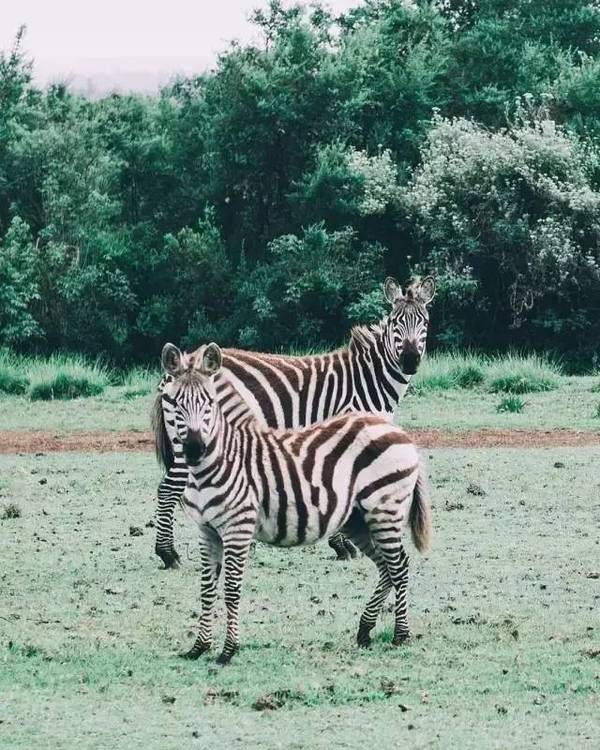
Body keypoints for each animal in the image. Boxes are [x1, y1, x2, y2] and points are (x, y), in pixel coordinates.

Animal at [159, 344, 432, 668]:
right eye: (174, 401)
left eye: (209, 402)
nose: (193, 449)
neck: (224, 458)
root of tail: (398, 431)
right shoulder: (207, 530)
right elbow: (206, 588)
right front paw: (199, 647)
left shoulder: (238, 528)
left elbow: (232, 589)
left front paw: (228, 651)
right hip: (359, 520)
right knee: (386, 567)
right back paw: (365, 630)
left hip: (385, 511)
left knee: (399, 566)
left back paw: (400, 635)